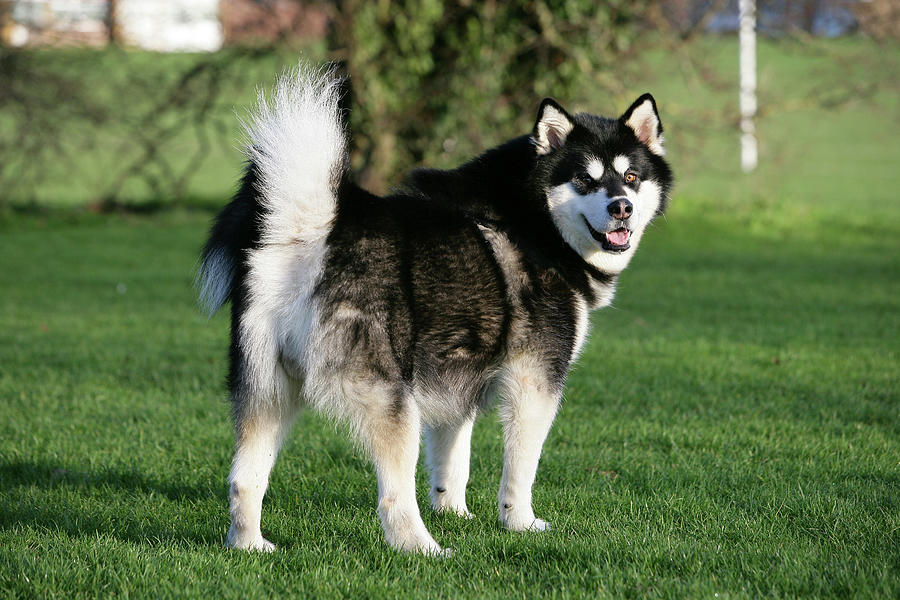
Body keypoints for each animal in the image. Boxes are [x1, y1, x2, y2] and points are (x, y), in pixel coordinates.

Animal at [199, 63, 676, 556]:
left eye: (631, 177)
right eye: (585, 179)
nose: (621, 207)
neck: (534, 218)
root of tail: (314, 230)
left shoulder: (456, 378)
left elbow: (454, 460)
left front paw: (454, 513)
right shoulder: (534, 380)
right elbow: (520, 468)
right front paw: (520, 522)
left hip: (270, 393)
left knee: (244, 480)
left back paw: (250, 545)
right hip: (391, 402)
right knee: (393, 497)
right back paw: (424, 548)